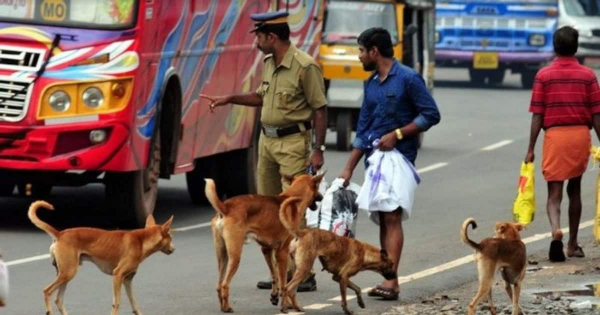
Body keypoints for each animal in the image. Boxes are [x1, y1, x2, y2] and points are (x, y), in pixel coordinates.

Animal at [29, 201, 175, 315]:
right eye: (171, 238)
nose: (174, 249)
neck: (141, 241)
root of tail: (60, 234)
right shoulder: (117, 275)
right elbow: (116, 303)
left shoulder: (128, 280)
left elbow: (134, 303)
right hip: (68, 273)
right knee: (47, 291)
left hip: (65, 274)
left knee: (59, 300)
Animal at [204, 174, 324, 314]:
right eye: (317, 187)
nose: (322, 196)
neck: (291, 198)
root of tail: (226, 207)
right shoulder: (282, 253)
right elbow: (283, 282)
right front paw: (286, 305)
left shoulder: (266, 250)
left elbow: (275, 275)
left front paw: (275, 296)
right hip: (235, 256)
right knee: (224, 284)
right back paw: (227, 307)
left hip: (223, 257)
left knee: (219, 284)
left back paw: (223, 307)